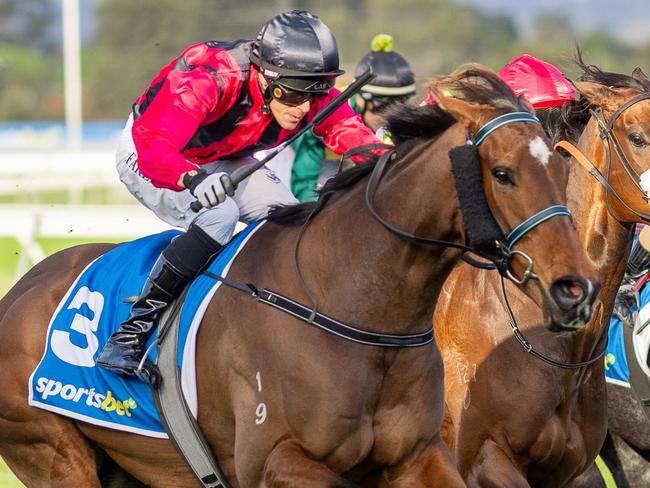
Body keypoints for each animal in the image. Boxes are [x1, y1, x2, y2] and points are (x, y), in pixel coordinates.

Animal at [0, 66, 596, 488]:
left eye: (561, 166)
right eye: (504, 173)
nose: (575, 289)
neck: (354, 307)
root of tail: (18, 291)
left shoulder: (418, 456)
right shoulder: (274, 460)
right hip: (52, 452)